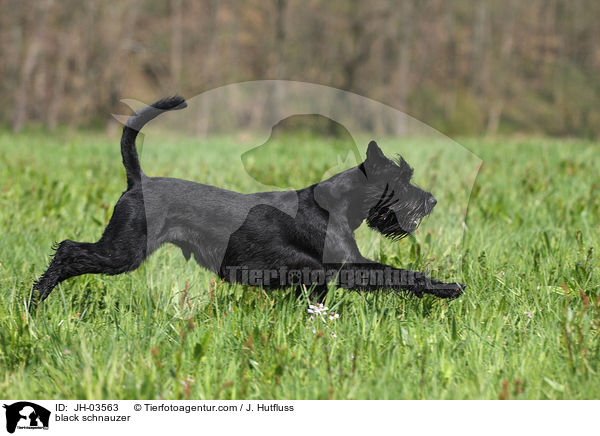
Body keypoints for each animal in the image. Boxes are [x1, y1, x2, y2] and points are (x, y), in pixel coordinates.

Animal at [30, 95, 466, 306]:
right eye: (402, 180)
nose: (431, 201)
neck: (337, 204)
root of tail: (138, 180)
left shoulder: (319, 276)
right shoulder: (348, 266)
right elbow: (404, 274)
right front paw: (449, 288)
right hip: (125, 249)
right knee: (68, 250)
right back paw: (35, 301)